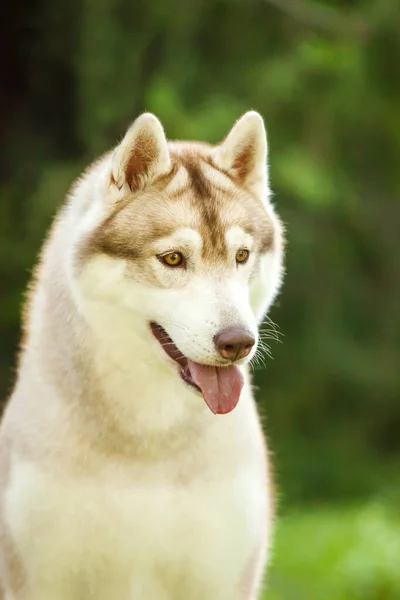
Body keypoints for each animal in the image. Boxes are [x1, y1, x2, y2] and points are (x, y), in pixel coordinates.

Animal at [0, 110, 286, 596]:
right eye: (172, 258)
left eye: (242, 255)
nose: (238, 342)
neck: (148, 443)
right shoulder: (39, 577)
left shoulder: (222, 576)